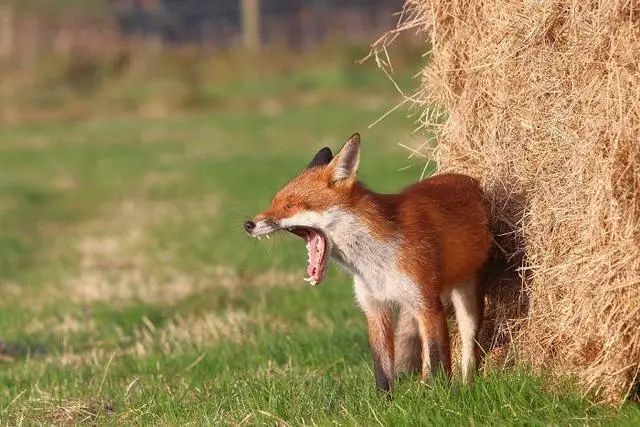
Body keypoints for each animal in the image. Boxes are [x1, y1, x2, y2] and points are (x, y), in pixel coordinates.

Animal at [242, 134, 492, 392]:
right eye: (274, 202)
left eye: (291, 205)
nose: (248, 224)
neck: (375, 263)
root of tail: (466, 178)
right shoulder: (374, 307)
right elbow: (382, 370)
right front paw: (388, 400)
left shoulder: (427, 304)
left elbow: (438, 360)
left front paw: (439, 395)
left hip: (465, 300)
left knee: (467, 347)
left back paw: (467, 384)